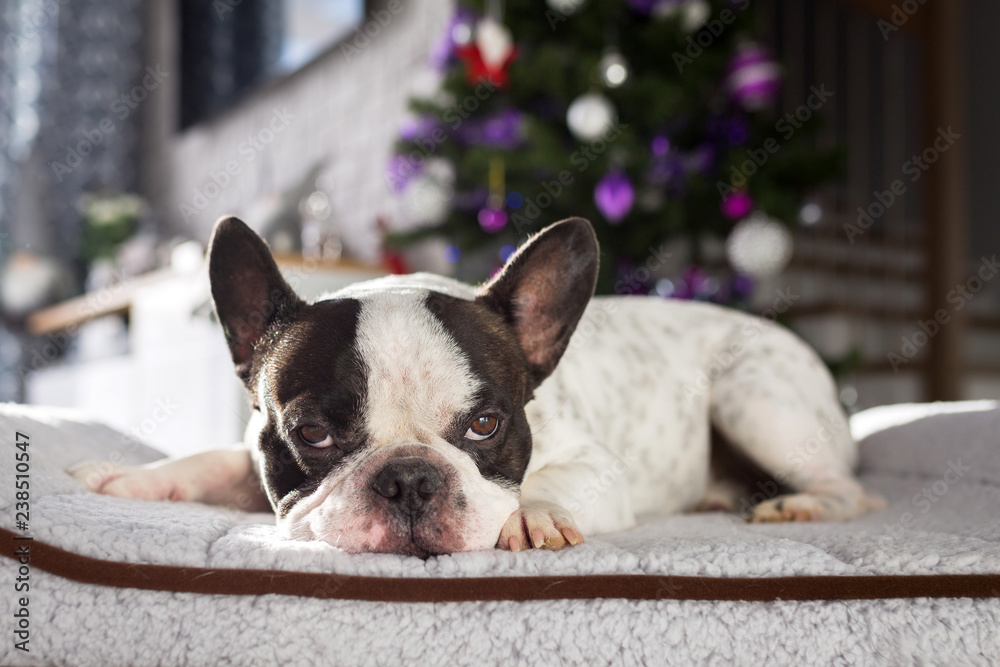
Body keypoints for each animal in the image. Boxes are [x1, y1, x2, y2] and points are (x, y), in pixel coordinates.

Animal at [72, 217, 884, 556]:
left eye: (487, 426)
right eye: (312, 434)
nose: (409, 480)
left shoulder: (598, 465)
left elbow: (553, 479)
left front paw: (532, 516)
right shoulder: (254, 451)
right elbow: (210, 461)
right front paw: (132, 478)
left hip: (753, 396)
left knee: (850, 489)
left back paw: (803, 504)